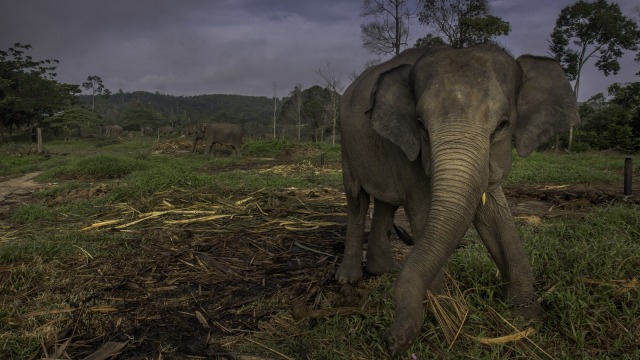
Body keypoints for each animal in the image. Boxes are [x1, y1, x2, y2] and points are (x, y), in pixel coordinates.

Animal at [338, 43, 584, 356]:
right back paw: (349, 278)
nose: (390, 340)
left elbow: (494, 214)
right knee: (357, 199)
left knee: (386, 204)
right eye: (420, 125)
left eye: (503, 125)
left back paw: (384, 270)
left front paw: (525, 313)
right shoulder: (409, 152)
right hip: (345, 144)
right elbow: (422, 210)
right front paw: (444, 309)